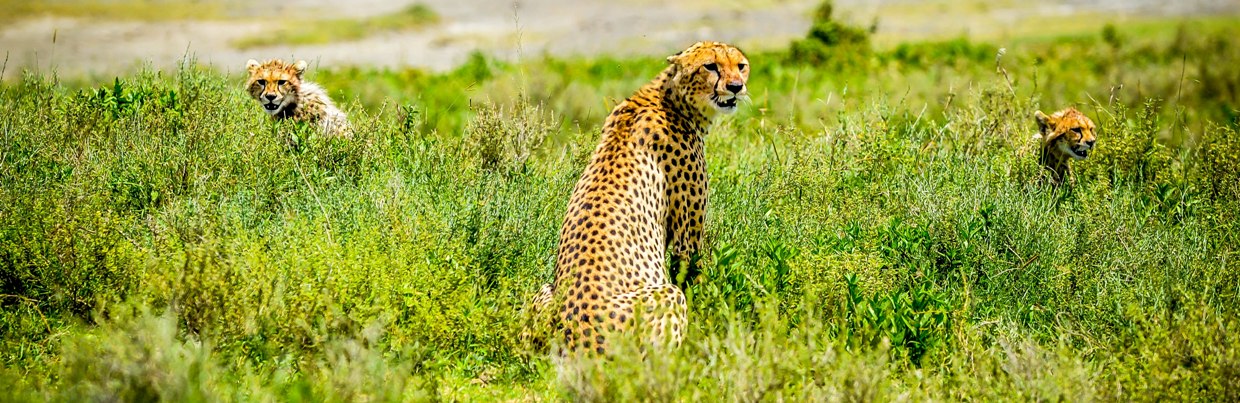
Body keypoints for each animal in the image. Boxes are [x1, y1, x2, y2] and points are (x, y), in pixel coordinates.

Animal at [528, 41, 748, 354]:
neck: (671, 98)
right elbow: (692, 276)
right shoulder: (687, 237)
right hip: (666, 296)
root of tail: (575, 340)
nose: (735, 87)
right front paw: (706, 322)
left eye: (741, 66)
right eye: (710, 66)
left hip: (546, 291)